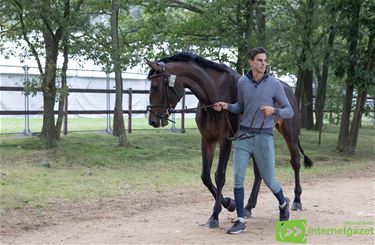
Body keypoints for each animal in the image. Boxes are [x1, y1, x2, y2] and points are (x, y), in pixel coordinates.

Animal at [145, 52, 312, 229]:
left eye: (155, 86)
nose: (153, 120)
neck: (214, 94)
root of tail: (287, 89)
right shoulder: (208, 141)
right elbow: (205, 177)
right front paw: (229, 203)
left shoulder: (225, 141)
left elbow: (219, 176)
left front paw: (215, 215)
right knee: (259, 172)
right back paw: (248, 207)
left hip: (290, 136)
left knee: (295, 162)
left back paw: (296, 201)